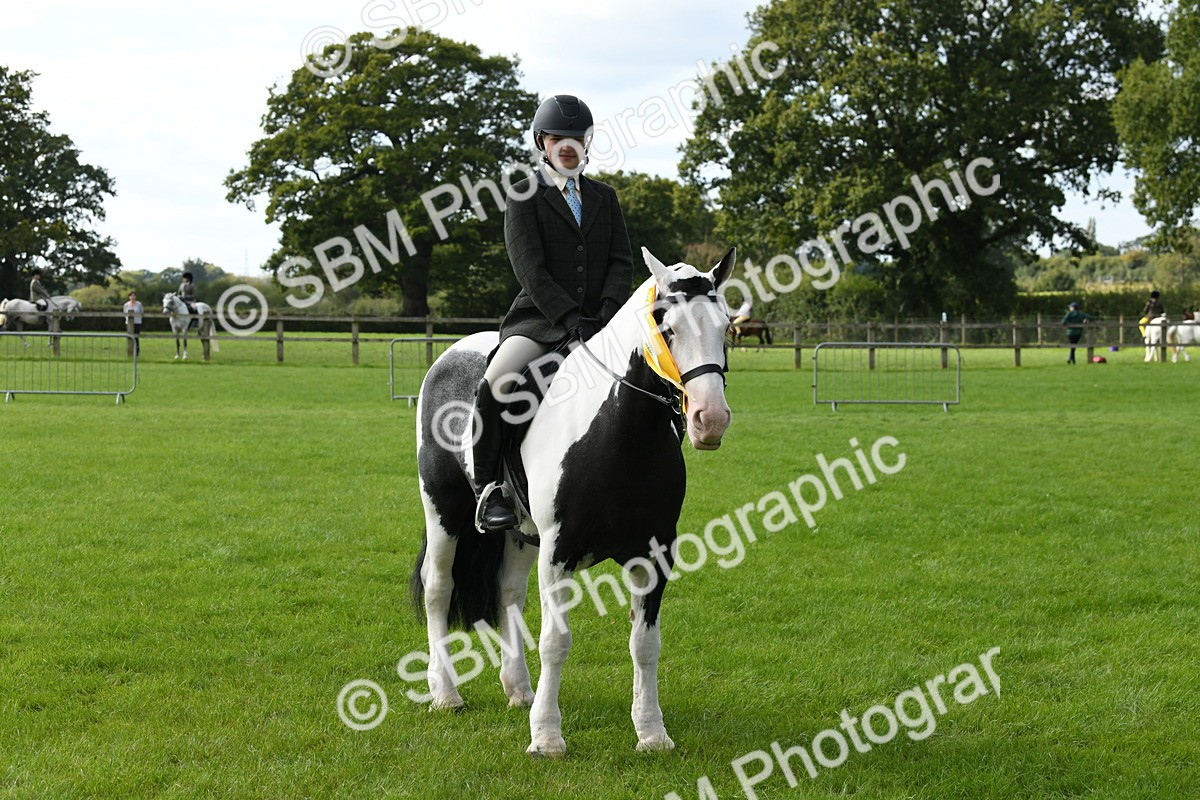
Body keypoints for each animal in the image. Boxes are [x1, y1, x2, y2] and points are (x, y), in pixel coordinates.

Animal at [411, 246, 735, 755]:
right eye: (666, 326)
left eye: (726, 327)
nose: (711, 419)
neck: (620, 432)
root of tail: (450, 355)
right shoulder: (557, 552)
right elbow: (555, 642)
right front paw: (546, 738)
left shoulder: (654, 555)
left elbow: (645, 644)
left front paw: (651, 733)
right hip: (443, 508)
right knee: (439, 586)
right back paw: (445, 693)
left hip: (520, 534)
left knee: (508, 592)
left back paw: (519, 689)